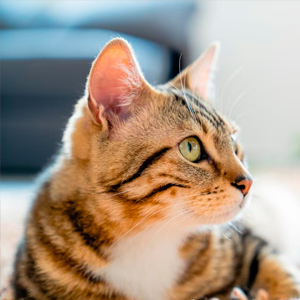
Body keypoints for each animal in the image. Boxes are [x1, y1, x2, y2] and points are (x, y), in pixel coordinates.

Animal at [11, 38, 300, 300]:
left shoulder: (250, 244)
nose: (248, 182)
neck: (147, 238)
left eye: (234, 142)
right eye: (191, 148)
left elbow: (283, 273)